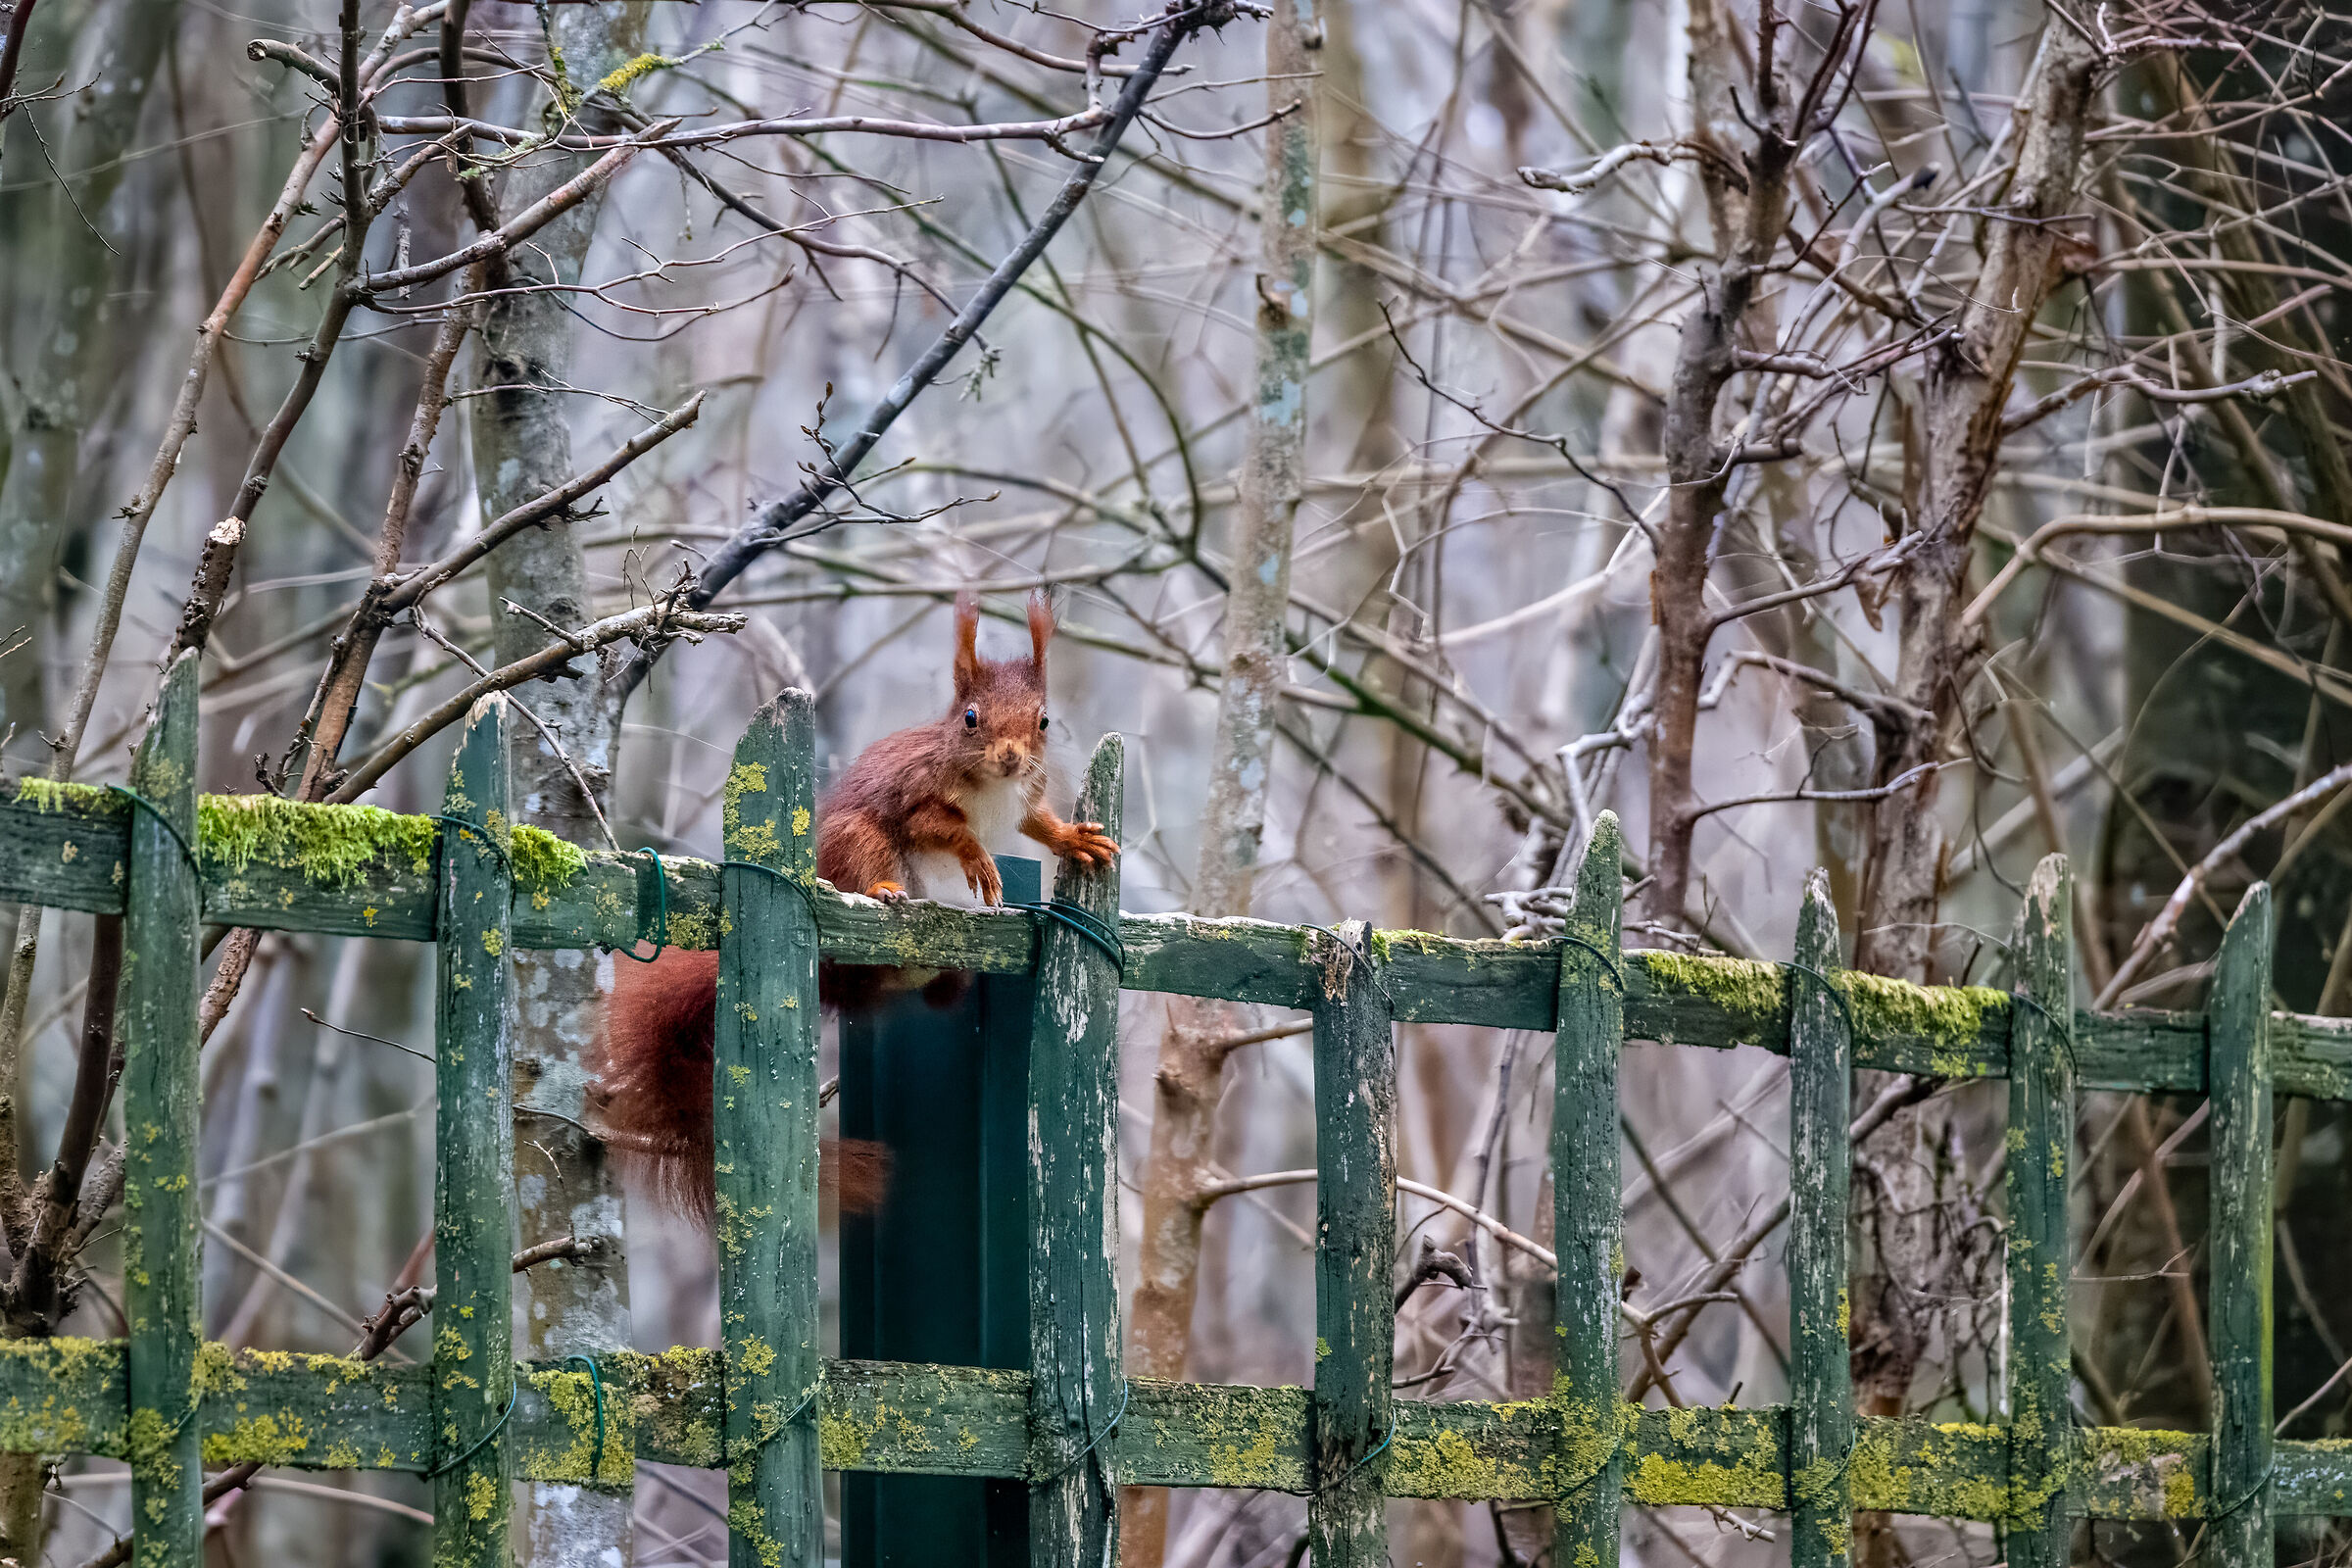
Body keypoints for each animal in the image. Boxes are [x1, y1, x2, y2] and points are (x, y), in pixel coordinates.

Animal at [592, 590, 1119, 1225]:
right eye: (970, 718)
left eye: (1042, 720)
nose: (1012, 757)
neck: (993, 787)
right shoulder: (918, 795)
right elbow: (944, 828)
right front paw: (978, 859)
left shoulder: (1026, 797)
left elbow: (1037, 822)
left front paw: (1075, 839)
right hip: (859, 839)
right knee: (873, 866)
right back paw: (884, 892)